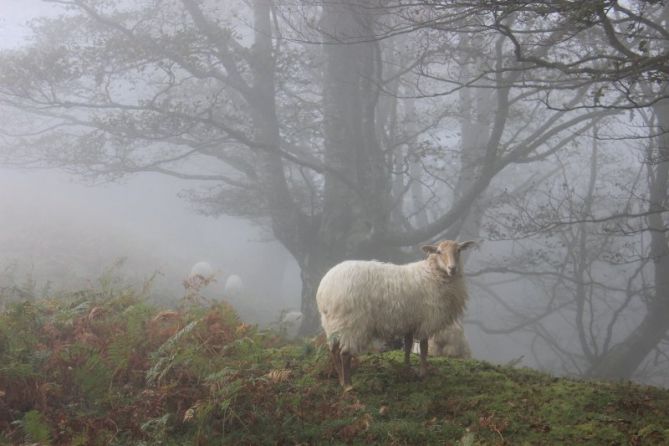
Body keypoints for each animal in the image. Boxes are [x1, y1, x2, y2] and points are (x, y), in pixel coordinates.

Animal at [314, 239, 474, 388]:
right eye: (439, 252)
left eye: (459, 250)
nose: (452, 268)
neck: (433, 273)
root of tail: (325, 289)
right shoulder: (426, 320)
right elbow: (423, 348)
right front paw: (423, 373)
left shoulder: (410, 321)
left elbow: (408, 346)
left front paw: (407, 368)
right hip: (351, 323)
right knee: (344, 353)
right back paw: (348, 386)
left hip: (332, 324)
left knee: (333, 351)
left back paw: (341, 380)